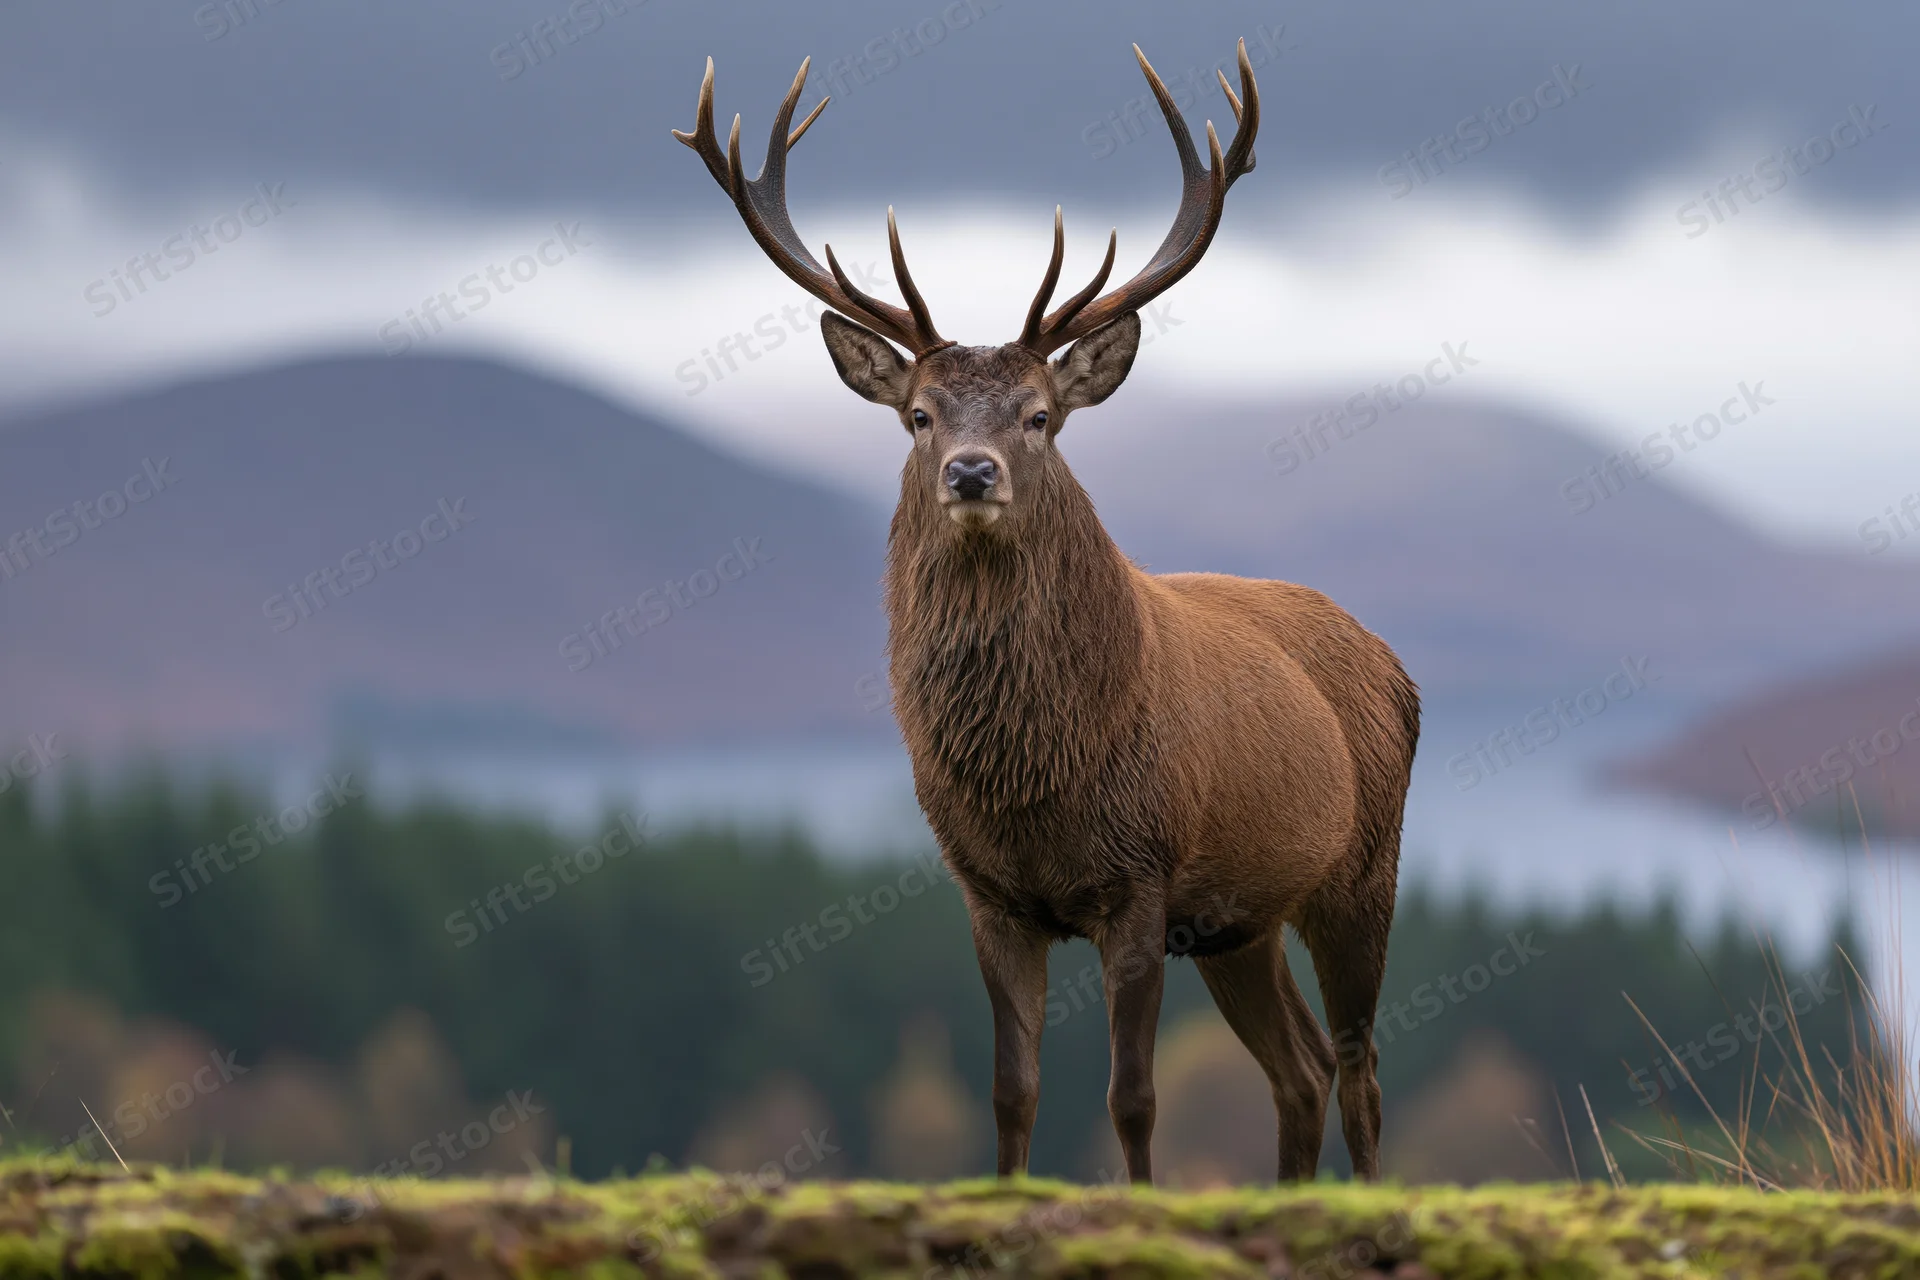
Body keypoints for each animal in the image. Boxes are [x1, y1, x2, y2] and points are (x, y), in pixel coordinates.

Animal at [675, 39, 1419, 1184]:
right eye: (920, 414)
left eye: (1038, 415)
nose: (972, 471)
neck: (1037, 777)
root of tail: (1394, 662)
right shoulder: (990, 892)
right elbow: (1010, 1091)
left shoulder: (1143, 875)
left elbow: (1134, 1097)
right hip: (1241, 921)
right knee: (1298, 1068)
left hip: (1362, 865)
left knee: (1361, 1067)